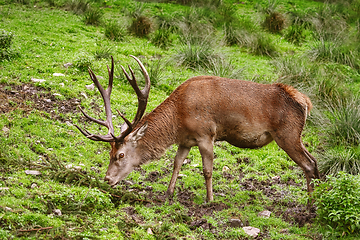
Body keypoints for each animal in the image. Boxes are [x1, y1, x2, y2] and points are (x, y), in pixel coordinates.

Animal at [74, 55, 320, 202]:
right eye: (110, 153)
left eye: (121, 154)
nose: (107, 179)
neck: (178, 117)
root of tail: (306, 102)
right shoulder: (186, 140)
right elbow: (176, 163)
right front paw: (169, 193)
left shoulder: (206, 134)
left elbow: (207, 170)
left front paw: (210, 199)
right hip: (296, 135)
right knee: (315, 160)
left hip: (287, 133)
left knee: (308, 164)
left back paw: (310, 204)